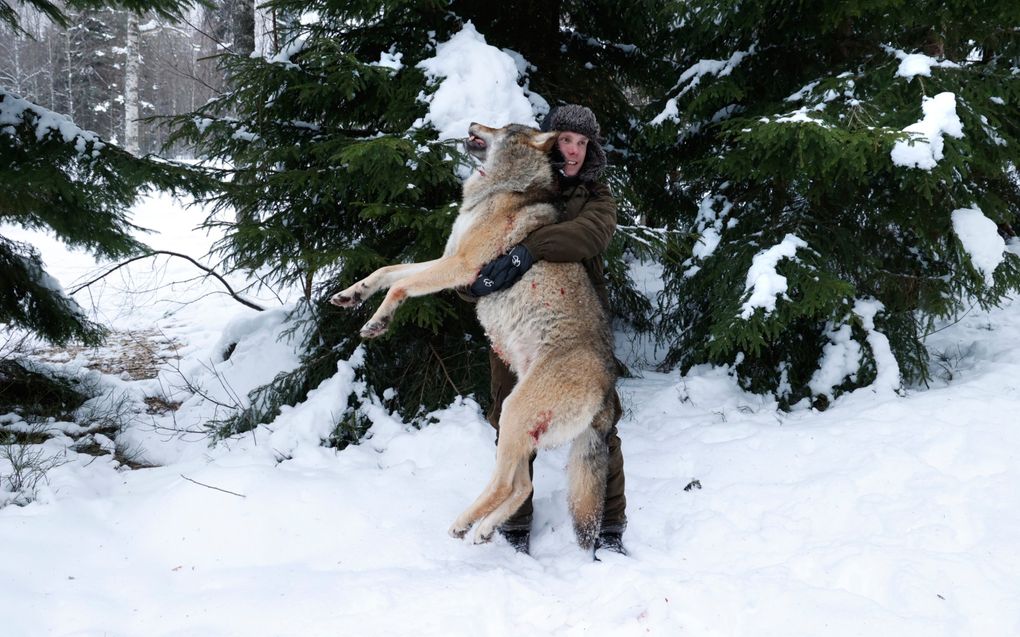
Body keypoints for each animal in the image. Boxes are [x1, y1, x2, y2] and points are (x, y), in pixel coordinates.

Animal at [332, 121, 612, 550]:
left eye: (504, 127)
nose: (472, 125)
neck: (498, 190)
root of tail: (605, 389)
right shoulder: (447, 258)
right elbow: (386, 272)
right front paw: (352, 295)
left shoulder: (462, 265)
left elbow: (399, 286)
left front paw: (379, 322)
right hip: (516, 422)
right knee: (523, 486)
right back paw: (481, 529)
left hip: (513, 414)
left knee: (508, 485)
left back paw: (465, 523)